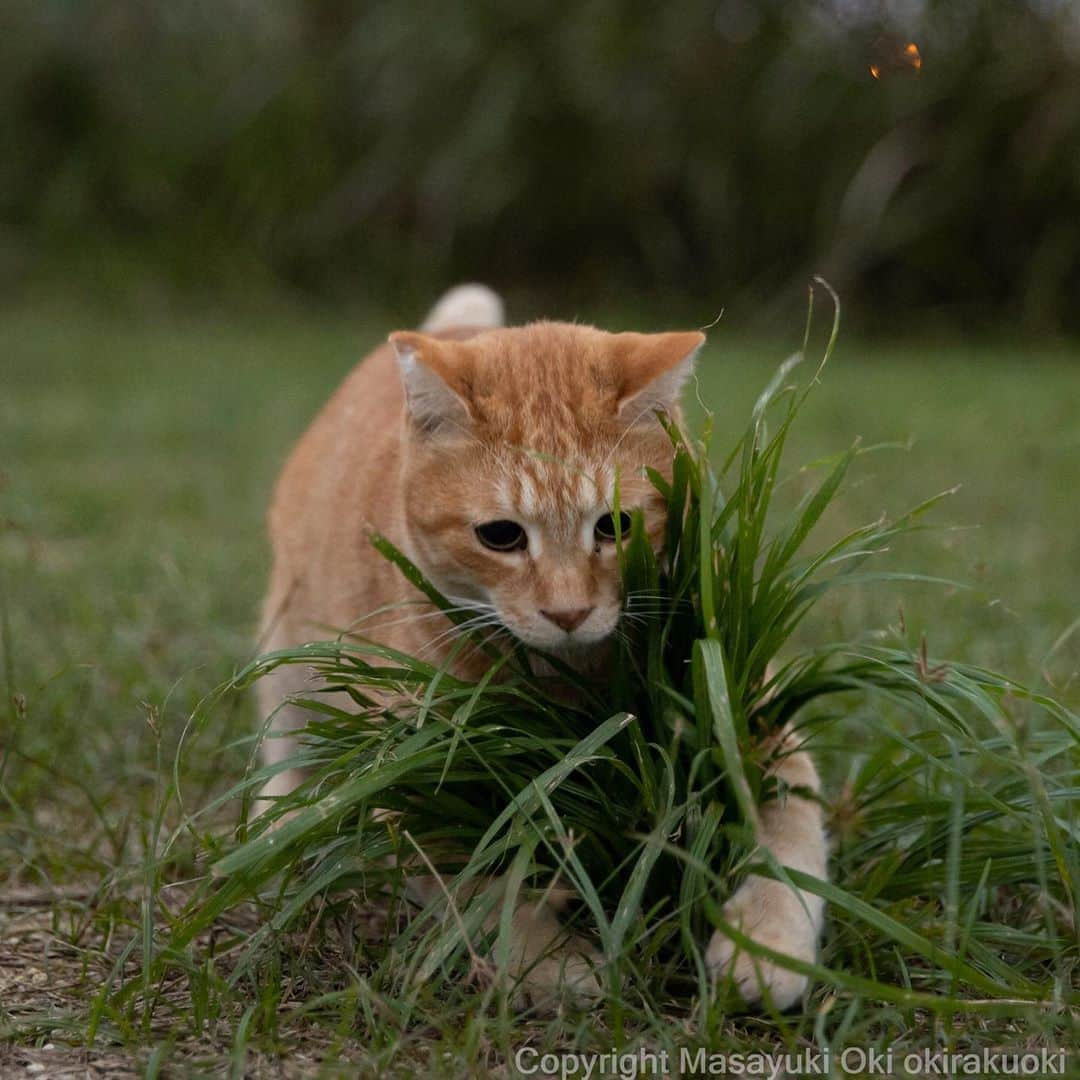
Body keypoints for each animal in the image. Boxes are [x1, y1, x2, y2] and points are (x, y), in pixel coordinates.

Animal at [259, 287, 825, 1010]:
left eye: (615, 526)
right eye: (501, 536)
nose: (568, 612)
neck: (572, 675)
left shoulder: (747, 706)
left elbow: (788, 822)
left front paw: (767, 943)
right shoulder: (417, 762)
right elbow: (479, 885)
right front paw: (557, 963)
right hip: (289, 658)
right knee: (282, 750)